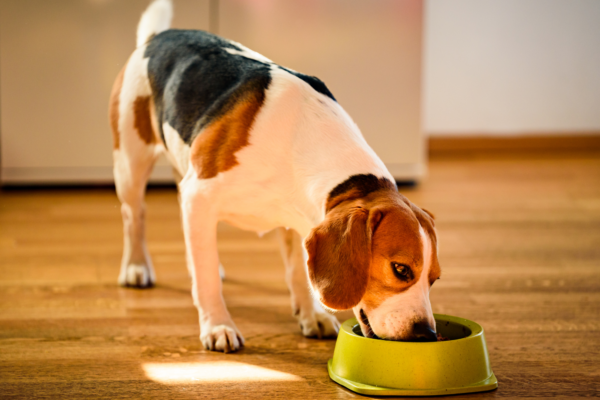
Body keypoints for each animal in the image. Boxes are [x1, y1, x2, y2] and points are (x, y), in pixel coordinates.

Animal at [109, 0, 440, 352]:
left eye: (434, 279)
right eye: (401, 269)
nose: (427, 334)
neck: (301, 138)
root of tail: (158, 37)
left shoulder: (299, 221)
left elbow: (298, 272)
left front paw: (311, 315)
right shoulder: (199, 195)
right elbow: (207, 279)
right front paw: (218, 325)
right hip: (130, 166)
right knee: (134, 216)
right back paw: (136, 267)